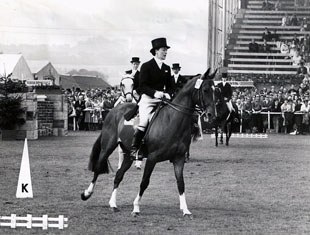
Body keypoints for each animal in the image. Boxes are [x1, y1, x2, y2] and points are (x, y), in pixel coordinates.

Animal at [81, 67, 217, 217]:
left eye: (215, 90)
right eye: (205, 90)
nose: (212, 115)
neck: (172, 120)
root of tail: (114, 110)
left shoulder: (179, 159)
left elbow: (181, 183)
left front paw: (186, 210)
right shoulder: (152, 158)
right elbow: (144, 182)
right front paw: (136, 207)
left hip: (128, 154)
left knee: (118, 175)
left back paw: (113, 204)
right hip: (108, 147)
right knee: (98, 168)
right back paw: (87, 193)